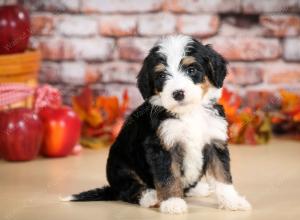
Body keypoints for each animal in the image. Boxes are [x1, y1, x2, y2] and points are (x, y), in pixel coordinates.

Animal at [62, 35, 252, 214]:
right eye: (161, 76)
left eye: (191, 70)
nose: (178, 93)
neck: (189, 113)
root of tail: (112, 188)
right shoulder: (162, 146)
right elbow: (168, 176)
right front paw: (173, 203)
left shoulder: (214, 141)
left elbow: (222, 175)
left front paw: (232, 201)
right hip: (120, 167)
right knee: (128, 189)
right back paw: (150, 196)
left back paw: (197, 189)